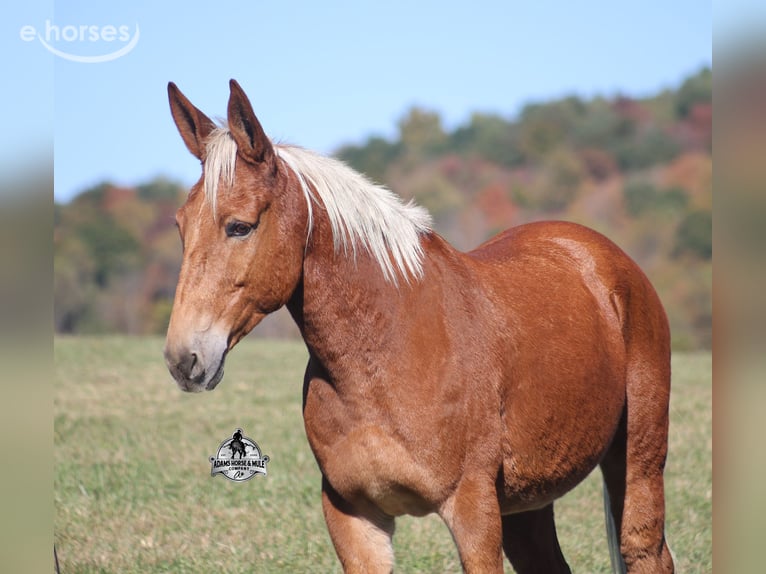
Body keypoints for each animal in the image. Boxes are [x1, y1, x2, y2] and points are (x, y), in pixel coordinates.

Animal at [163, 79, 674, 573]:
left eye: (240, 226)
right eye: (180, 226)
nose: (183, 359)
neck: (386, 352)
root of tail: (605, 258)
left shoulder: (473, 510)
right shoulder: (354, 518)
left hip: (637, 463)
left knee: (646, 551)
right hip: (526, 500)